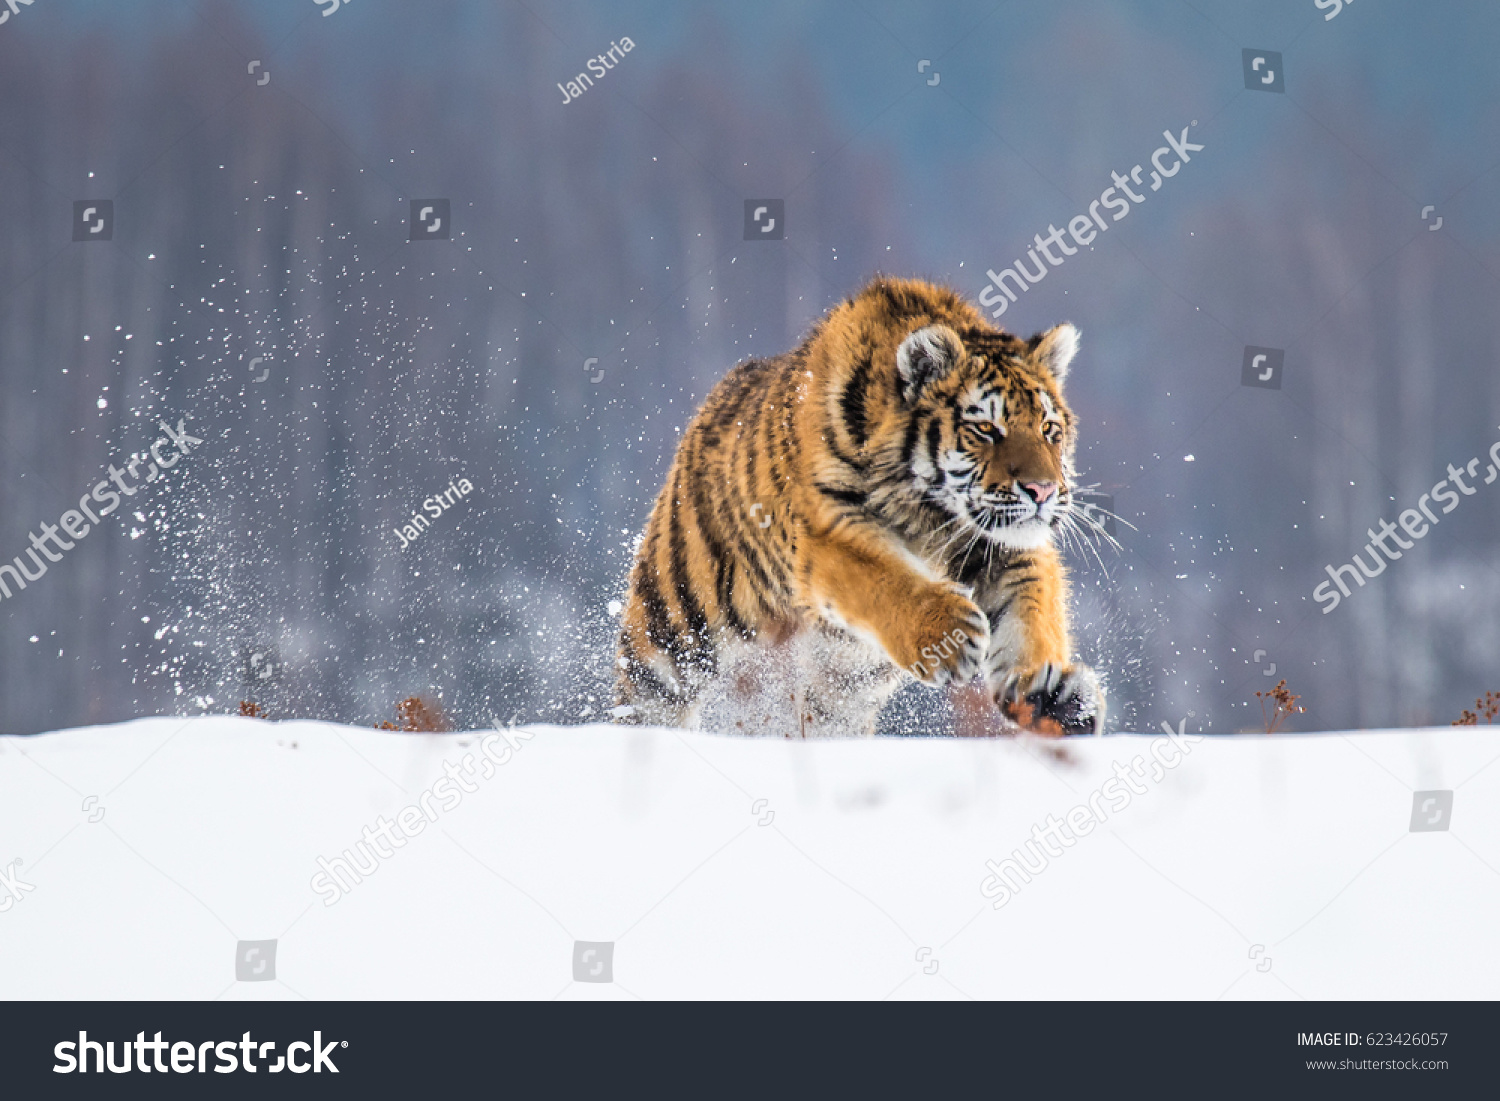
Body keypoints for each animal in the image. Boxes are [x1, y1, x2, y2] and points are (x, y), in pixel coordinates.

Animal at [613, 275, 1105, 738]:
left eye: (1048, 429)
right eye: (985, 428)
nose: (1041, 490)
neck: (931, 512)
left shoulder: (1009, 546)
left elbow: (1033, 612)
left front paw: (1053, 696)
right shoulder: (827, 531)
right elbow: (885, 578)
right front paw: (950, 636)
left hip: (829, 693)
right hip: (673, 626)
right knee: (647, 700)